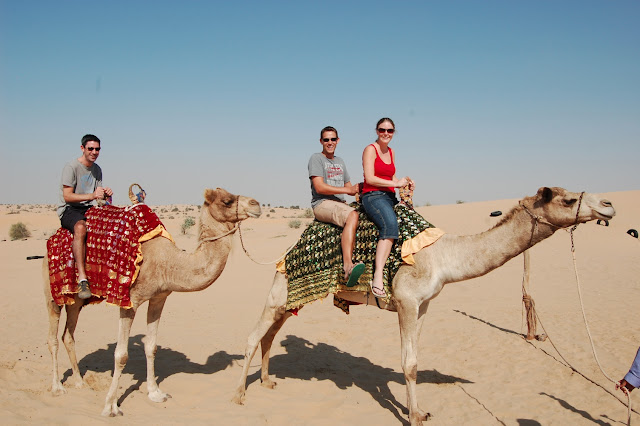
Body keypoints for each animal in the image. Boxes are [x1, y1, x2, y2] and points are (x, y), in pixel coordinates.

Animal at [44, 188, 260, 414]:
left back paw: (79, 382)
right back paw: (57, 387)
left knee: (68, 336)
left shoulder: (159, 298)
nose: (256, 204)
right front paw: (111, 405)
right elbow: (121, 354)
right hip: (53, 293)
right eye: (227, 201)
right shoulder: (129, 301)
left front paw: (155, 393)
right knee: (52, 338)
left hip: (76, 300)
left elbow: (151, 347)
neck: (169, 262)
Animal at [234, 187, 616, 426]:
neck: (443, 255)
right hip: (280, 287)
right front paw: (414, 417)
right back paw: (238, 395)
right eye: (568, 199)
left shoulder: (423, 306)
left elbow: (415, 362)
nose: (609, 205)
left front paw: (419, 413)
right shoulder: (405, 301)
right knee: (253, 336)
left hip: (291, 299)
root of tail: (290, 249)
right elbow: (409, 364)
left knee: (271, 334)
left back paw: (267, 382)